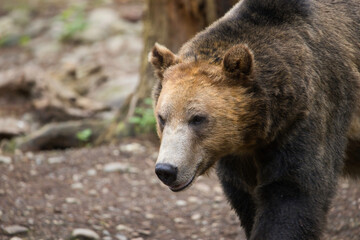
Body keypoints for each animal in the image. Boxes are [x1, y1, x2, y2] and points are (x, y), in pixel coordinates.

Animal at [148, 0, 358, 239]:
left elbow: (293, 190)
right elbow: (246, 196)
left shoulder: (310, 113)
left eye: (197, 118)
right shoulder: (239, 152)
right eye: (162, 118)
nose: (166, 170)